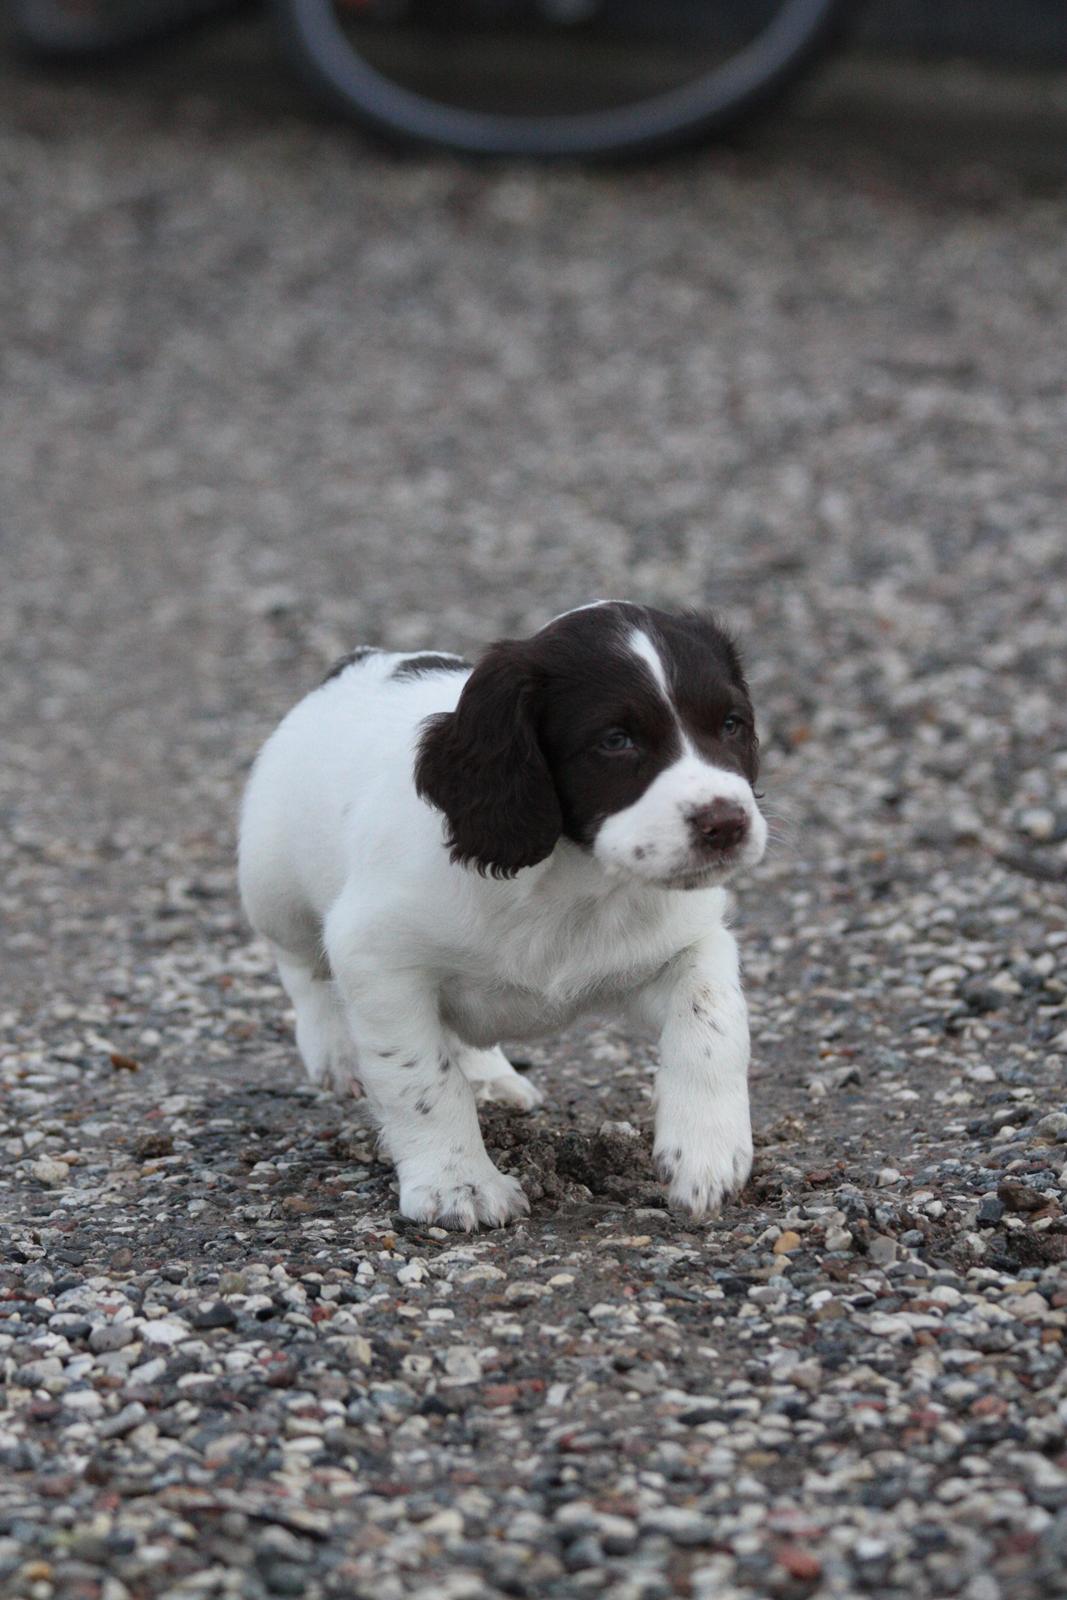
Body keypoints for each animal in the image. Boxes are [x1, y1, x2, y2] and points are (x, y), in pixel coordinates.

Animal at [238, 604, 764, 1228]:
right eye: (616, 740)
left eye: (731, 724)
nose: (726, 824)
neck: (569, 882)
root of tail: (360, 660)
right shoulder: (375, 958)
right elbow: (421, 1078)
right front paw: (457, 1184)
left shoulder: (688, 940)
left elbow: (711, 1022)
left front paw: (707, 1152)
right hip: (273, 882)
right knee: (301, 964)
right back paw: (336, 1052)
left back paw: (489, 1077)